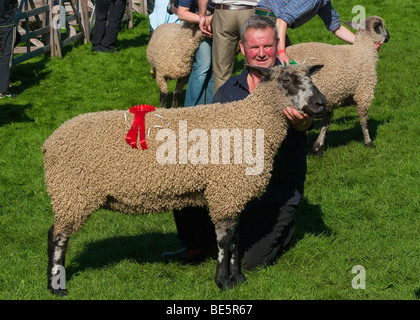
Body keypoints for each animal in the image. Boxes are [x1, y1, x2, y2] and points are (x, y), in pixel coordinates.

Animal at [286, 15, 390, 155]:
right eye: (382, 26)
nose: (389, 37)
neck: (364, 50)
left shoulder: (329, 98)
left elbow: (326, 124)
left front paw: (318, 147)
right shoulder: (363, 93)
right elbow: (363, 121)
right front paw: (368, 142)